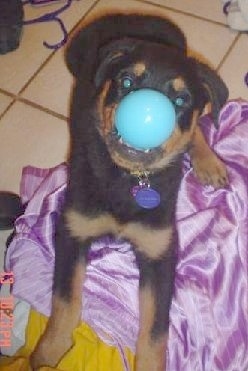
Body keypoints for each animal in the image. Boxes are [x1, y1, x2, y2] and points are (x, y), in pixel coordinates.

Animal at [31, 12, 229, 371]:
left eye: (181, 100)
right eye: (125, 82)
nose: (145, 114)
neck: (131, 179)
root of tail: (134, 16)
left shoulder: (160, 249)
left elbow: (155, 330)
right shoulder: (73, 227)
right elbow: (65, 299)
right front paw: (48, 354)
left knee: (196, 131)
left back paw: (210, 164)